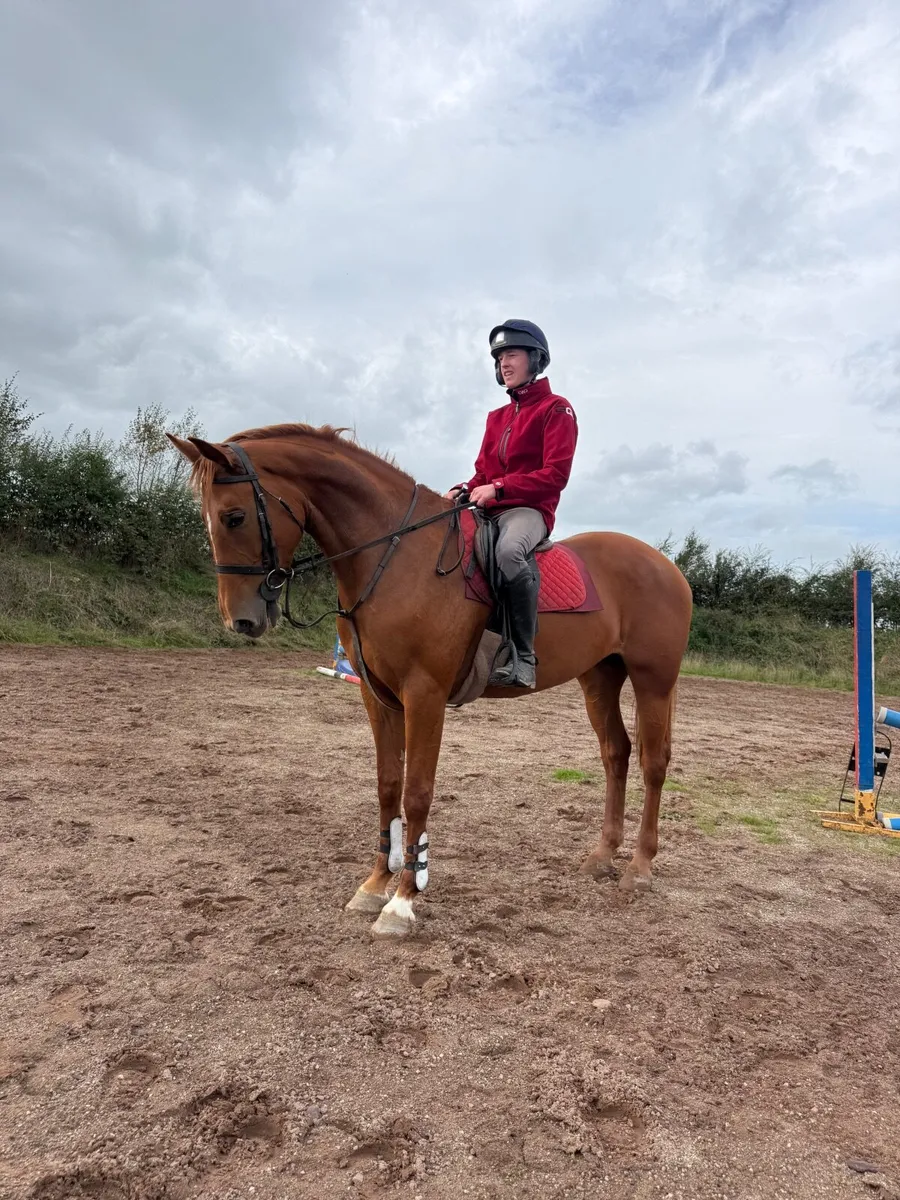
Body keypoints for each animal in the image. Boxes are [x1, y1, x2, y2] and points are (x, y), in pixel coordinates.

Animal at [167, 424, 693, 939]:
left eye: (234, 517)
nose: (240, 621)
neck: (394, 555)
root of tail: (667, 567)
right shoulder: (378, 696)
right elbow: (388, 785)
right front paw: (374, 885)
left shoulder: (425, 695)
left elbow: (417, 791)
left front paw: (402, 902)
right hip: (599, 678)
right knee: (615, 754)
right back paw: (602, 857)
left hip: (653, 681)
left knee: (653, 763)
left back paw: (639, 868)